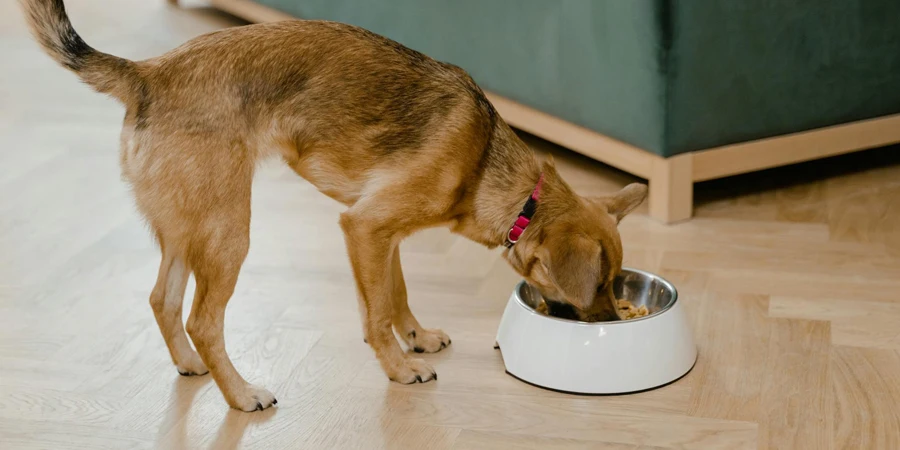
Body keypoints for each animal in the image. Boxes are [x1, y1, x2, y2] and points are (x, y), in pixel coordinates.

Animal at [24, 0, 648, 412]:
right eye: (599, 284)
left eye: (616, 283)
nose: (614, 325)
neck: (498, 176)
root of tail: (147, 74)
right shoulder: (365, 226)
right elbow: (375, 315)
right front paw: (400, 368)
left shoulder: (383, 235)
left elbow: (395, 295)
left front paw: (416, 337)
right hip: (229, 232)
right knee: (203, 319)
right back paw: (242, 395)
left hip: (187, 227)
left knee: (162, 300)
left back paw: (190, 365)